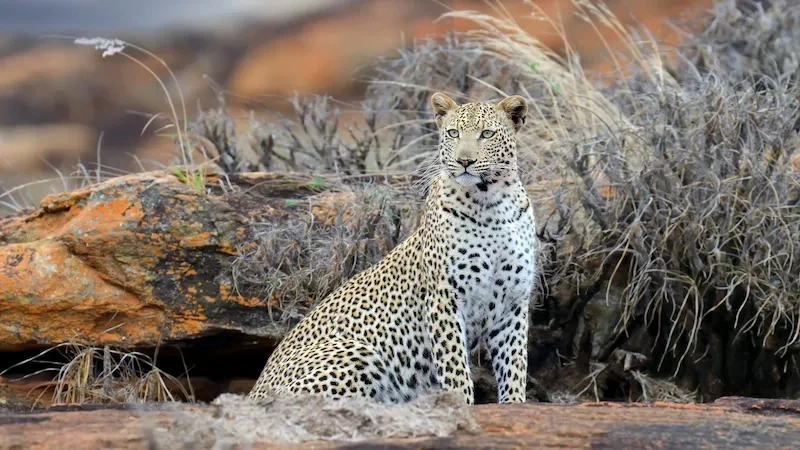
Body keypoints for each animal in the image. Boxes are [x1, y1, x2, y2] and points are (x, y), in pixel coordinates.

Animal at [247, 92, 539, 405]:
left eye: (487, 134)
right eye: (453, 133)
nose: (464, 161)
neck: (492, 204)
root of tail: (254, 390)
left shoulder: (513, 302)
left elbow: (514, 364)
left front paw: (514, 404)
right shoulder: (444, 297)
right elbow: (454, 366)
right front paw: (460, 404)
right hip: (357, 352)